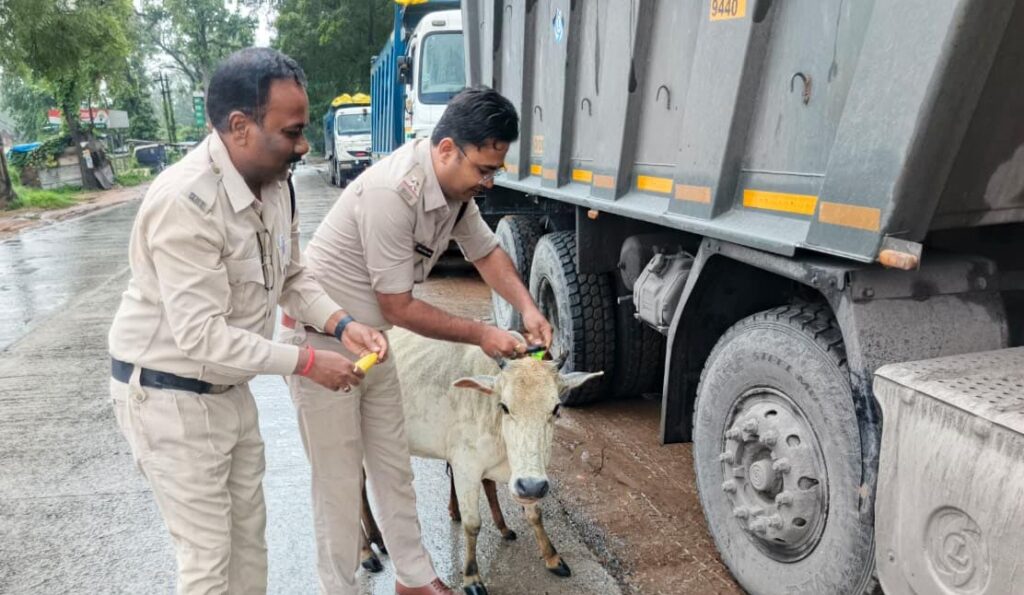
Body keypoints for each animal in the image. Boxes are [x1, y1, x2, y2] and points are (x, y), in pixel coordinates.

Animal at [359, 327, 603, 595]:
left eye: (556, 408)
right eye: (504, 406)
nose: (531, 486)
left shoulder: (528, 476)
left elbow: (534, 514)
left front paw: (552, 558)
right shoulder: (466, 468)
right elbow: (472, 524)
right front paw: (472, 577)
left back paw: (377, 539)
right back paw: (366, 553)